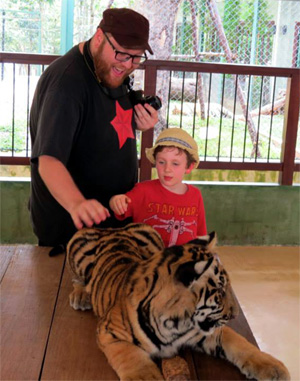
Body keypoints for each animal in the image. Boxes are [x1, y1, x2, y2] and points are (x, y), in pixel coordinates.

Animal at [67, 221, 290, 378]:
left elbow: (240, 343)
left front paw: (274, 368)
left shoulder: (205, 332)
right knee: (77, 279)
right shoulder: (109, 333)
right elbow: (134, 360)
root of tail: (112, 228)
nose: (235, 314)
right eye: (219, 291)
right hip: (76, 244)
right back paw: (81, 295)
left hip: (152, 233)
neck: (176, 323)